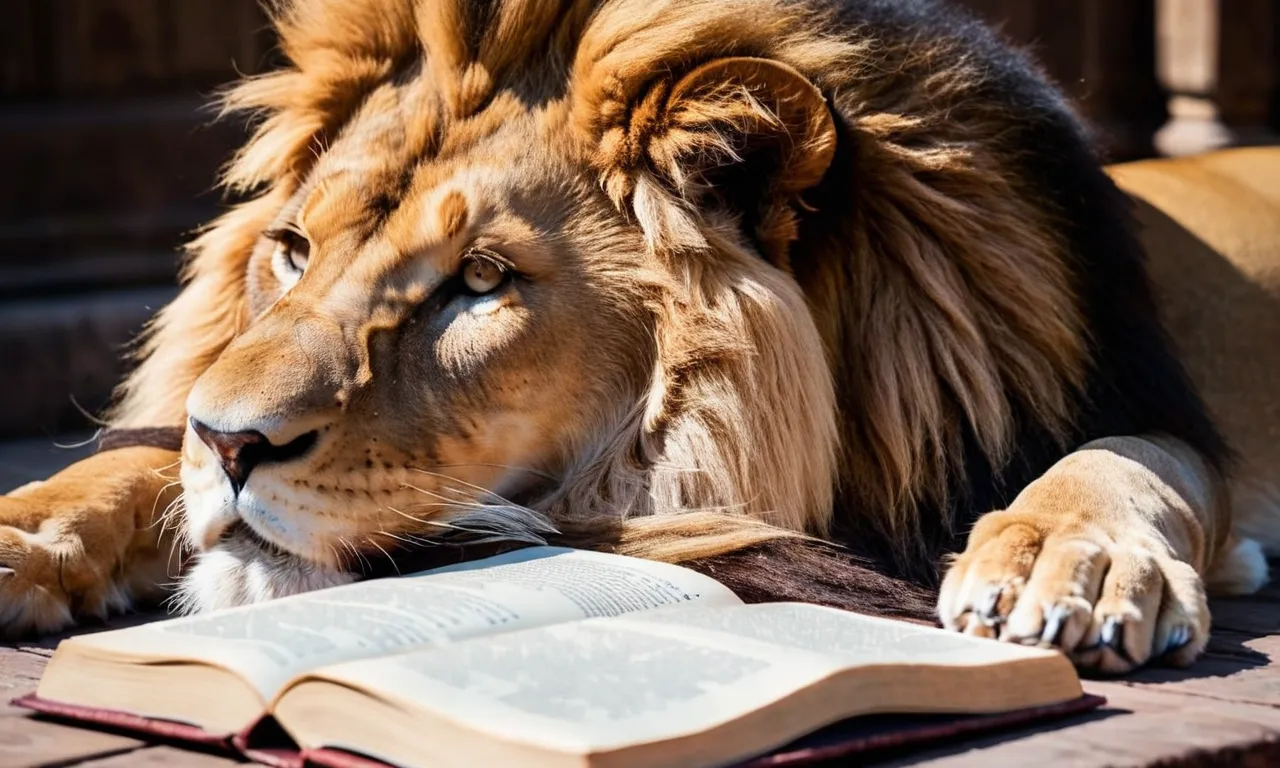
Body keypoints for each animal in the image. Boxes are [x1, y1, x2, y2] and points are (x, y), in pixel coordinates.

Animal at [2, 0, 1280, 670]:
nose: (231, 445)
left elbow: (1132, 459)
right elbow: (131, 459)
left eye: (480, 281)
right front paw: (27, 531)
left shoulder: (1141, 403)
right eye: (293, 250)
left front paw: (1064, 558)